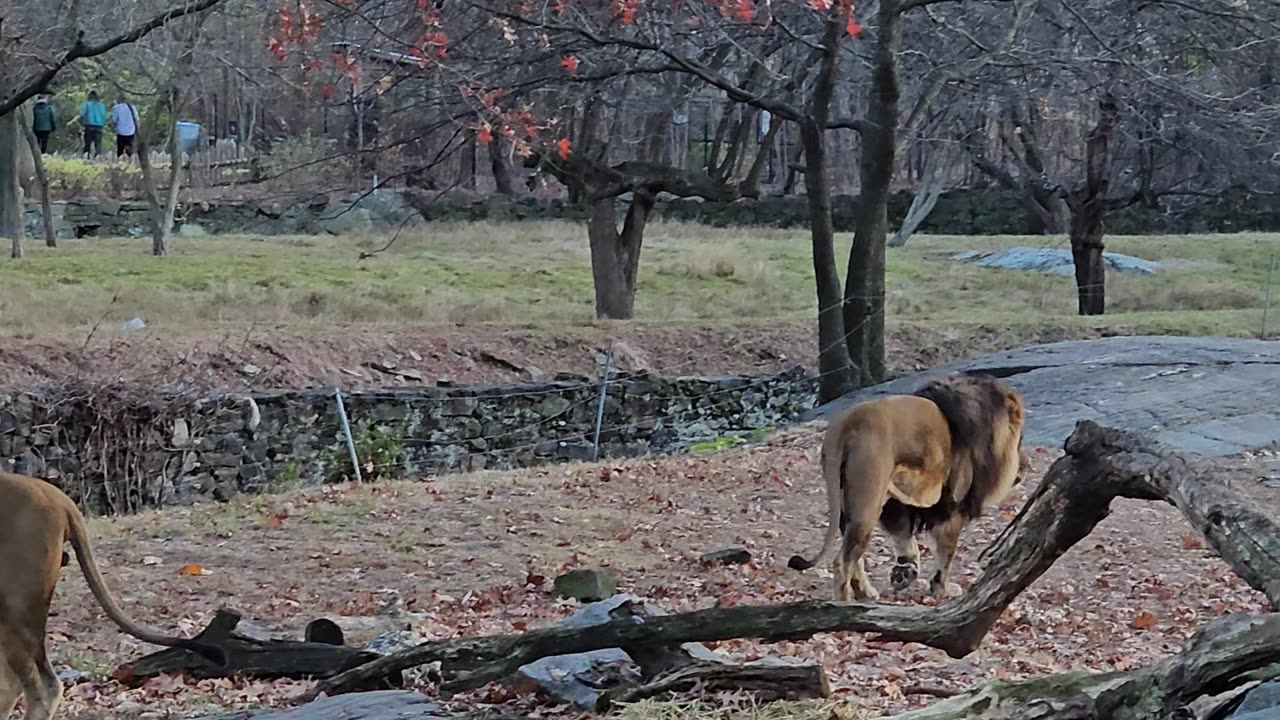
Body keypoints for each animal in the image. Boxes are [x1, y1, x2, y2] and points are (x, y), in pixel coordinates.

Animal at [783, 371, 1024, 602]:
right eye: (1019, 442)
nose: (1024, 467)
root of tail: (847, 423)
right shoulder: (953, 505)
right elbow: (946, 554)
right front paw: (942, 589)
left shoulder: (899, 502)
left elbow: (905, 538)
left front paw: (905, 572)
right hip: (867, 503)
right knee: (843, 561)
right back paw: (844, 602)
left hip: (849, 502)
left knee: (854, 555)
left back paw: (865, 593)